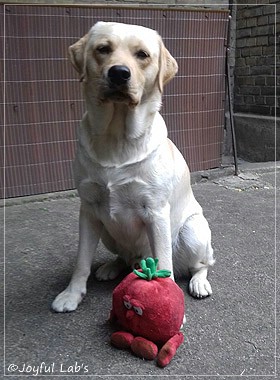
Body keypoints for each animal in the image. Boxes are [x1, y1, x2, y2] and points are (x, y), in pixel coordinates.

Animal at [52, 21, 214, 312]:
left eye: (142, 55)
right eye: (103, 49)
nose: (119, 73)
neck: (117, 135)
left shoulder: (156, 212)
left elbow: (165, 261)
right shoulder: (88, 209)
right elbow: (81, 260)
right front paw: (71, 294)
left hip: (193, 231)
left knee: (201, 264)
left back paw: (199, 282)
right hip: (107, 229)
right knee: (125, 258)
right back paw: (111, 267)